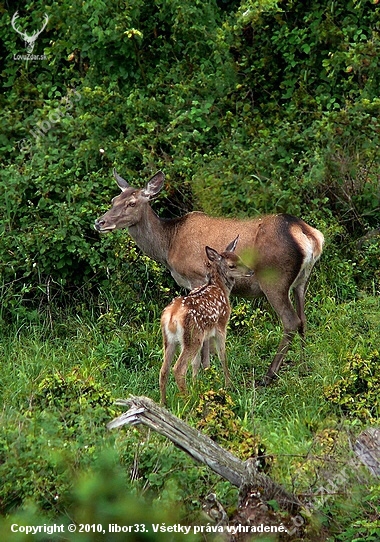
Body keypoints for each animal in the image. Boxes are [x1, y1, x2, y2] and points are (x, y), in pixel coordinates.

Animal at [95, 168, 324, 384]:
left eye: (131, 203)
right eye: (114, 200)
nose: (99, 222)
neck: (168, 246)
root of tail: (308, 234)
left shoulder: (196, 276)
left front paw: (204, 369)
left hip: (274, 279)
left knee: (291, 321)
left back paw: (268, 375)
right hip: (302, 280)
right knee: (303, 319)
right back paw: (303, 365)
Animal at [160, 236, 252, 406]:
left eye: (240, 257)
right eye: (232, 265)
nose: (251, 271)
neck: (220, 288)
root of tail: (172, 316)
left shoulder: (206, 335)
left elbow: (199, 363)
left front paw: (198, 384)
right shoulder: (221, 325)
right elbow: (222, 356)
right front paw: (229, 384)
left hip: (170, 339)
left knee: (164, 369)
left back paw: (164, 403)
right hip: (192, 338)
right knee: (178, 368)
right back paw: (188, 400)